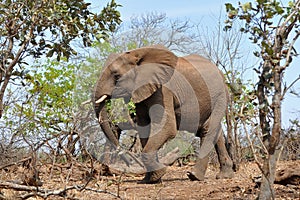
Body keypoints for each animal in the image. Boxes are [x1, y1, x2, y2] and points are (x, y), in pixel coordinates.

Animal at [94, 44, 234, 184]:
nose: (128, 161)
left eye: (117, 76)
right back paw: (224, 176)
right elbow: (144, 127)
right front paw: (148, 180)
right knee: (214, 131)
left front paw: (159, 174)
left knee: (207, 129)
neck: (138, 54)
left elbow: (167, 127)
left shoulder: (163, 90)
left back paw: (194, 176)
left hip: (220, 96)